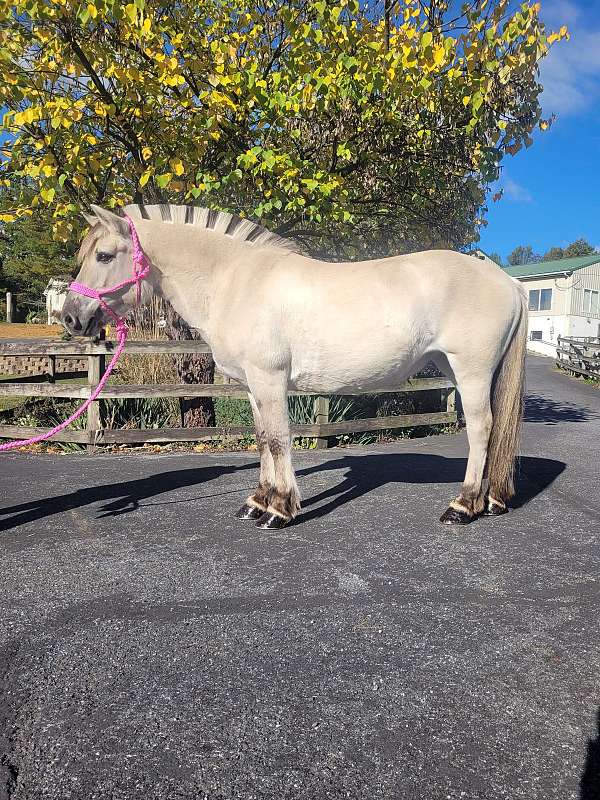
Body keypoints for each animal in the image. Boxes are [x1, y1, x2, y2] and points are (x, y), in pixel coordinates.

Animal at [63, 206, 528, 528]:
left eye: (104, 255)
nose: (69, 317)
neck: (234, 280)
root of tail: (506, 281)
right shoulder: (253, 385)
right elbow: (262, 439)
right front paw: (257, 502)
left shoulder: (270, 379)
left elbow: (279, 441)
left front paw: (280, 510)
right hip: (455, 368)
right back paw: (490, 502)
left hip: (470, 371)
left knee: (482, 428)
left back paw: (462, 505)